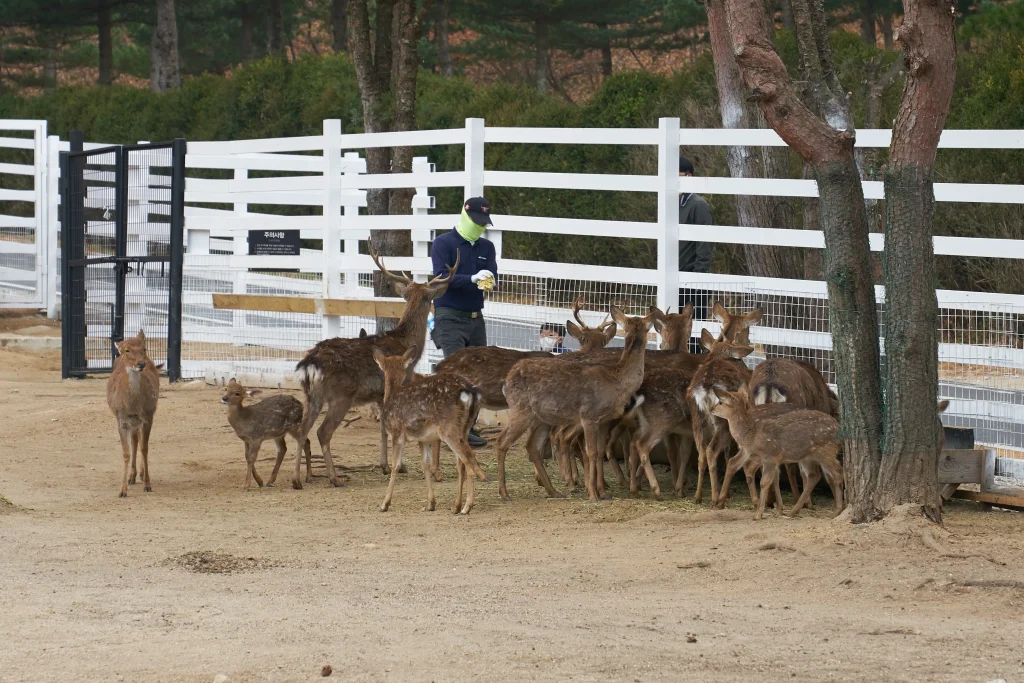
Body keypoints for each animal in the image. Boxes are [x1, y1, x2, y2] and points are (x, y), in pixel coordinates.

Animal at [105, 329, 159, 497]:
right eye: (127, 350)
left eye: (144, 349)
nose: (141, 363)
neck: (133, 405)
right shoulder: (121, 420)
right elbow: (126, 453)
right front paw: (122, 490)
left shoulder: (148, 417)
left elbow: (145, 449)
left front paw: (148, 484)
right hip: (132, 422)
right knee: (134, 441)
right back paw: (132, 476)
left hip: (140, 420)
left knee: (138, 441)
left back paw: (140, 474)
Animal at [292, 248, 460, 489]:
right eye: (430, 298)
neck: (406, 344)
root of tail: (309, 364)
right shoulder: (399, 385)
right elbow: (389, 429)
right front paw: (397, 466)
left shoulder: (380, 395)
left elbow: (382, 429)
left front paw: (385, 466)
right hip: (341, 395)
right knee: (322, 432)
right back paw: (334, 478)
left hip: (311, 395)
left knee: (301, 430)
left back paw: (298, 479)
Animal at [372, 348, 487, 511]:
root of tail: (467, 390)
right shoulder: (422, 438)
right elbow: (425, 464)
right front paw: (431, 504)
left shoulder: (396, 432)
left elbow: (396, 465)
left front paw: (384, 504)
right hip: (464, 428)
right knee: (462, 463)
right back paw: (456, 506)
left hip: (448, 429)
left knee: (468, 458)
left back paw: (466, 507)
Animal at [497, 307, 655, 499]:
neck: (617, 380)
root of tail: (506, 381)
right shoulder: (588, 416)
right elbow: (591, 452)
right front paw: (593, 494)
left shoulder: (604, 420)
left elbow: (599, 451)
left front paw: (602, 491)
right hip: (520, 409)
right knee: (502, 442)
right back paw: (504, 493)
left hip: (541, 418)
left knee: (532, 446)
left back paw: (554, 491)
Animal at [708, 387, 843, 520]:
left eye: (721, 402)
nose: (711, 409)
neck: (752, 434)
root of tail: (838, 429)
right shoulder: (770, 459)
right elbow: (772, 479)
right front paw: (774, 510)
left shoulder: (770, 457)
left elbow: (764, 482)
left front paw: (758, 514)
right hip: (808, 457)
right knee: (815, 476)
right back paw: (794, 511)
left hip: (826, 451)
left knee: (836, 473)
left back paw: (836, 510)